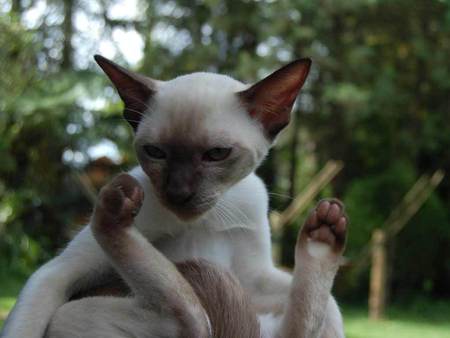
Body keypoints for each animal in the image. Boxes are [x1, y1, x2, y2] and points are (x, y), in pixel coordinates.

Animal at [0, 55, 348, 338]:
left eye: (217, 154)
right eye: (155, 152)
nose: (178, 194)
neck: (203, 222)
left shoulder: (253, 279)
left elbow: (330, 308)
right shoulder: (58, 273)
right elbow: (24, 324)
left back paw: (325, 233)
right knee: (190, 320)